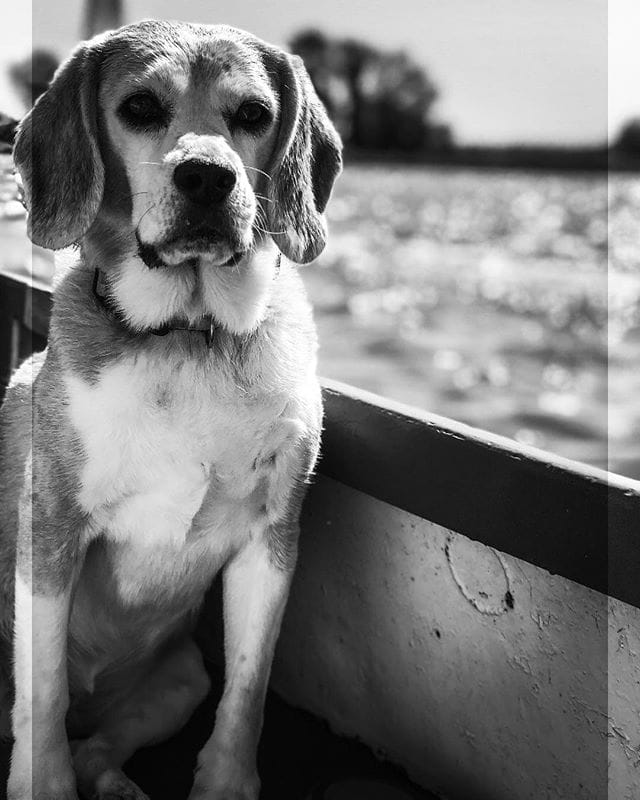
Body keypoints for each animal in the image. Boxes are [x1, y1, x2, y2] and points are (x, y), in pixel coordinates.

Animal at [0, 18, 342, 800]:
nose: (208, 177)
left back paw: (115, 780)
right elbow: (43, 693)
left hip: (182, 677)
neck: (188, 335)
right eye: (139, 107)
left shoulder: (272, 540)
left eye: (253, 113)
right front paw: (44, 783)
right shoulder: (50, 534)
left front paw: (227, 782)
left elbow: (247, 689)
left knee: (101, 746)